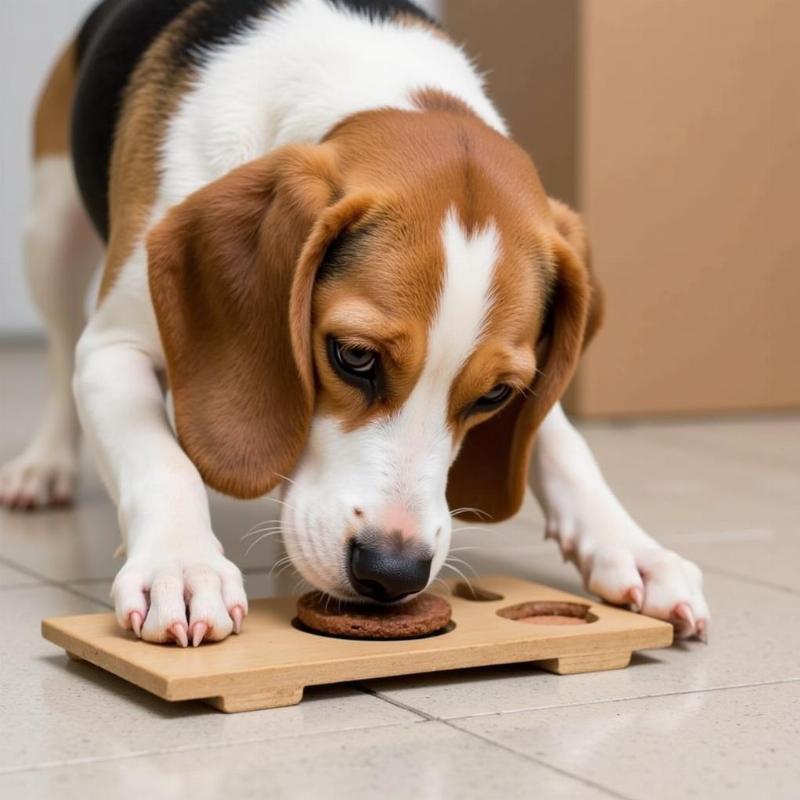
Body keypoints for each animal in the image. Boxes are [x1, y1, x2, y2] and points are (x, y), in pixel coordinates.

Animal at [3, 0, 708, 644]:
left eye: (497, 396)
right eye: (354, 356)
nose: (392, 573)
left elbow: (563, 444)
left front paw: (630, 546)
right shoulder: (113, 350)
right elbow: (161, 460)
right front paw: (181, 566)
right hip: (48, 235)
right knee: (60, 346)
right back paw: (43, 467)